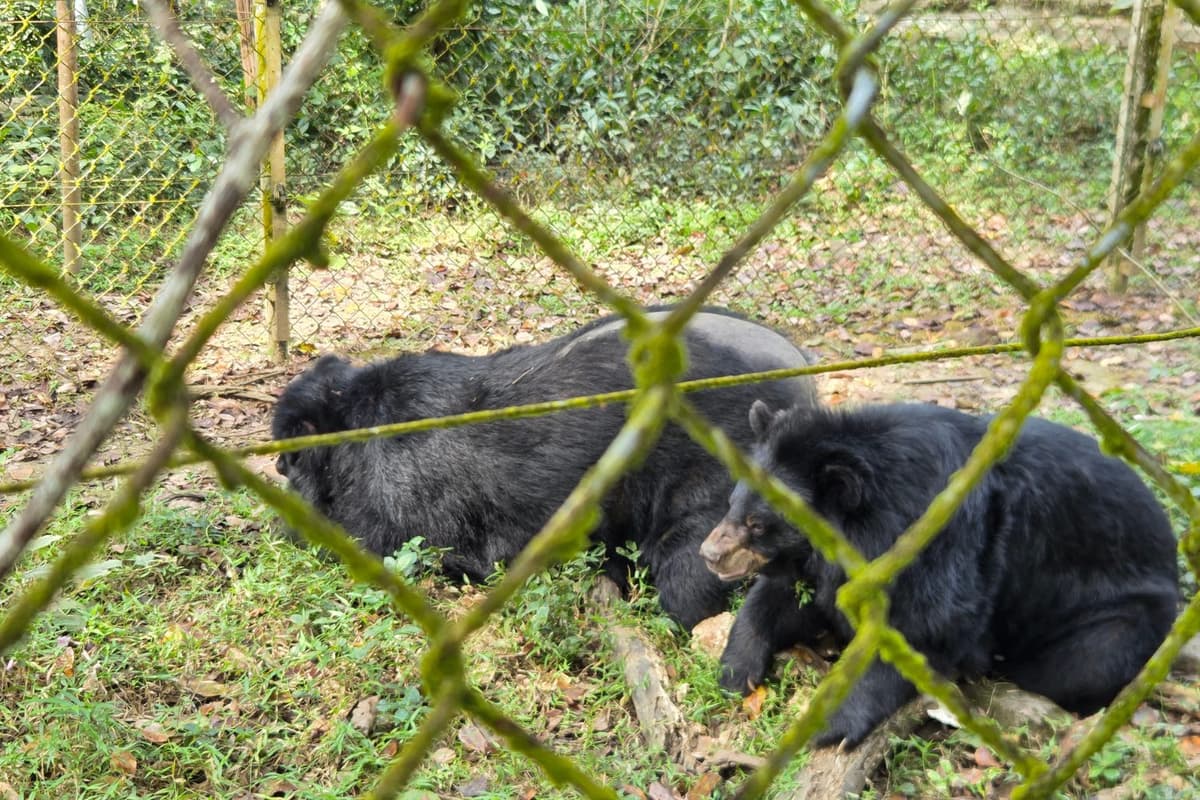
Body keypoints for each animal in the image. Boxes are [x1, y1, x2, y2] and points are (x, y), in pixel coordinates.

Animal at [700, 400, 1180, 746]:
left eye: (758, 525)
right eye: (732, 504)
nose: (709, 555)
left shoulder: (944, 538)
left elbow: (926, 622)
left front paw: (826, 725)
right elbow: (783, 600)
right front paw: (734, 671)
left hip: (1117, 612)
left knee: (1085, 663)